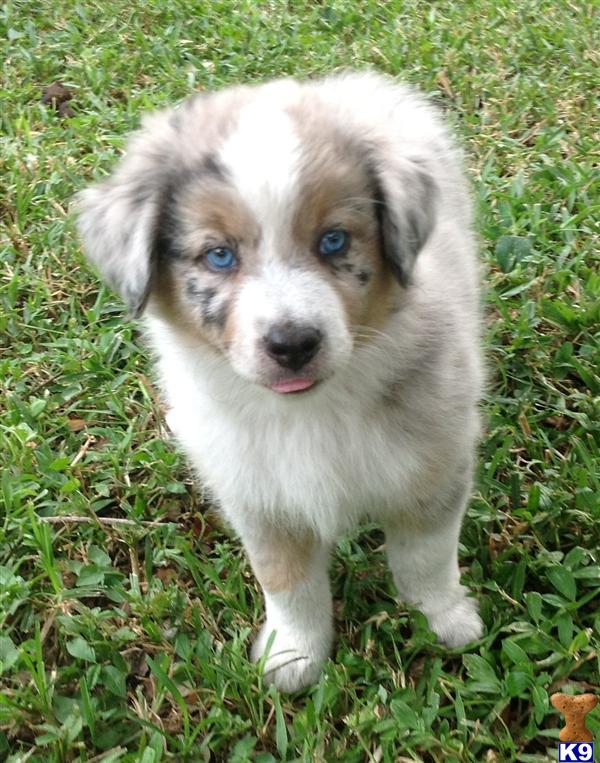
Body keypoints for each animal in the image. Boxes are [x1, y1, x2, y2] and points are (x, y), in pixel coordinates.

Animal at [77, 71, 486, 692]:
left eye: (334, 241)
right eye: (219, 255)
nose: (292, 345)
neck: (312, 411)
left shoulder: (435, 466)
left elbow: (426, 556)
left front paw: (444, 619)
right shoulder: (257, 493)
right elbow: (287, 582)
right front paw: (294, 656)